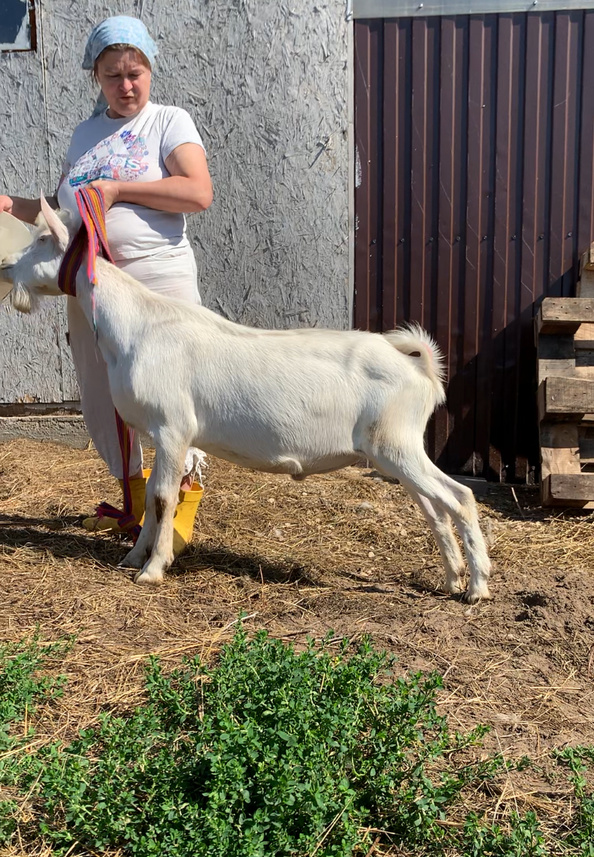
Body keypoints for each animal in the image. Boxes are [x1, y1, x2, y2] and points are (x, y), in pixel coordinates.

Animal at [0, 195, 492, 602]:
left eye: (43, 239)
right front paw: (134, 556)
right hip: (395, 450)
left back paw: (477, 587)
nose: (6, 268)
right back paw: (451, 579)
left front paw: (153, 568)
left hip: (396, 442)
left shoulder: (173, 426)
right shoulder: (161, 432)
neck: (138, 326)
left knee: (460, 497)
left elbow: (162, 497)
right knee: (434, 508)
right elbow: (154, 495)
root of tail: (419, 369)